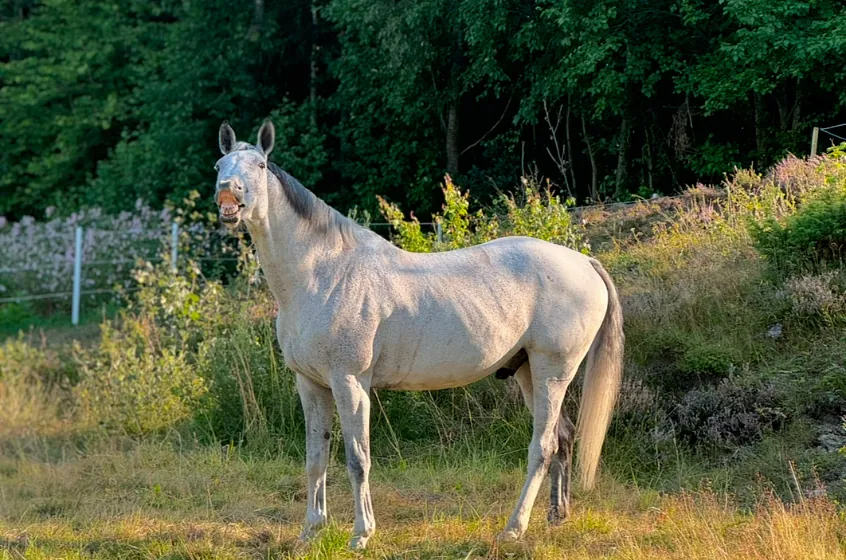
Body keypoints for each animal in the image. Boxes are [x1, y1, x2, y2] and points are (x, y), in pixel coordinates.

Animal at [212, 120, 624, 548]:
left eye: (260, 166)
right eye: (219, 165)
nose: (227, 197)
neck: (324, 274)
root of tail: (584, 262)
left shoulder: (349, 383)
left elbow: (357, 459)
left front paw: (361, 534)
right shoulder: (310, 385)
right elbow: (315, 459)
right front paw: (310, 531)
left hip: (552, 371)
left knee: (541, 447)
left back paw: (513, 528)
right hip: (528, 371)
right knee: (562, 437)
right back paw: (557, 517)